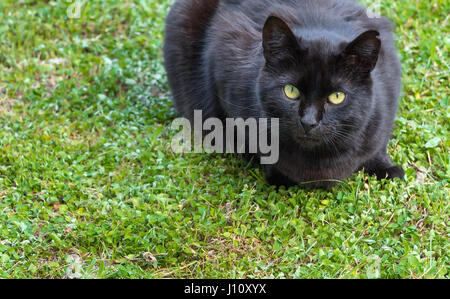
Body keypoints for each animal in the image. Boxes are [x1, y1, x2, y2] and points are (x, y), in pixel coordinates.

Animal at [163, 0, 406, 188]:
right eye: (290, 91)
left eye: (336, 97)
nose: (309, 122)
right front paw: (279, 176)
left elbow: (378, 145)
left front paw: (387, 169)